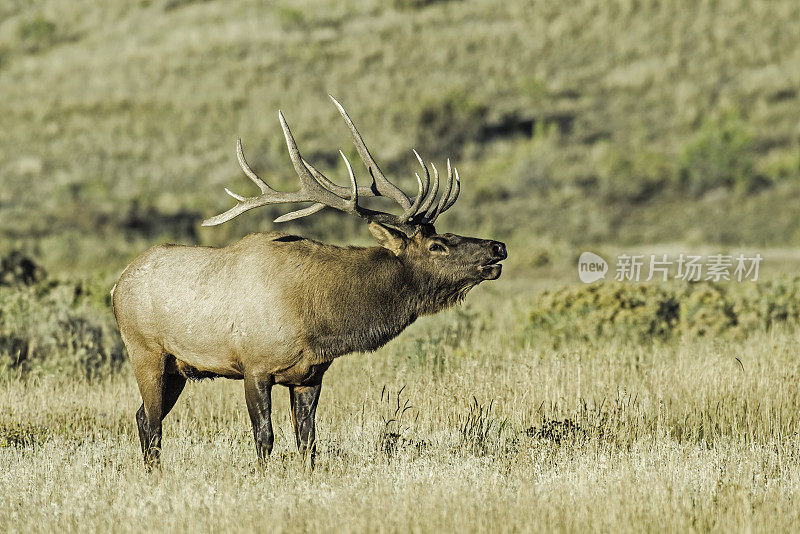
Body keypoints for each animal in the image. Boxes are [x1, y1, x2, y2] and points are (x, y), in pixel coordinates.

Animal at [111, 96, 506, 468]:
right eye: (436, 245)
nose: (497, 247)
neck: (320, 318)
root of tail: (116, 285)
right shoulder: (255, 366)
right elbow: (264, 438)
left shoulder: (309, 375)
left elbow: (308, 441)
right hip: (145, 352)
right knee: (151, 423)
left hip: (178, 369)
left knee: (143, 417)